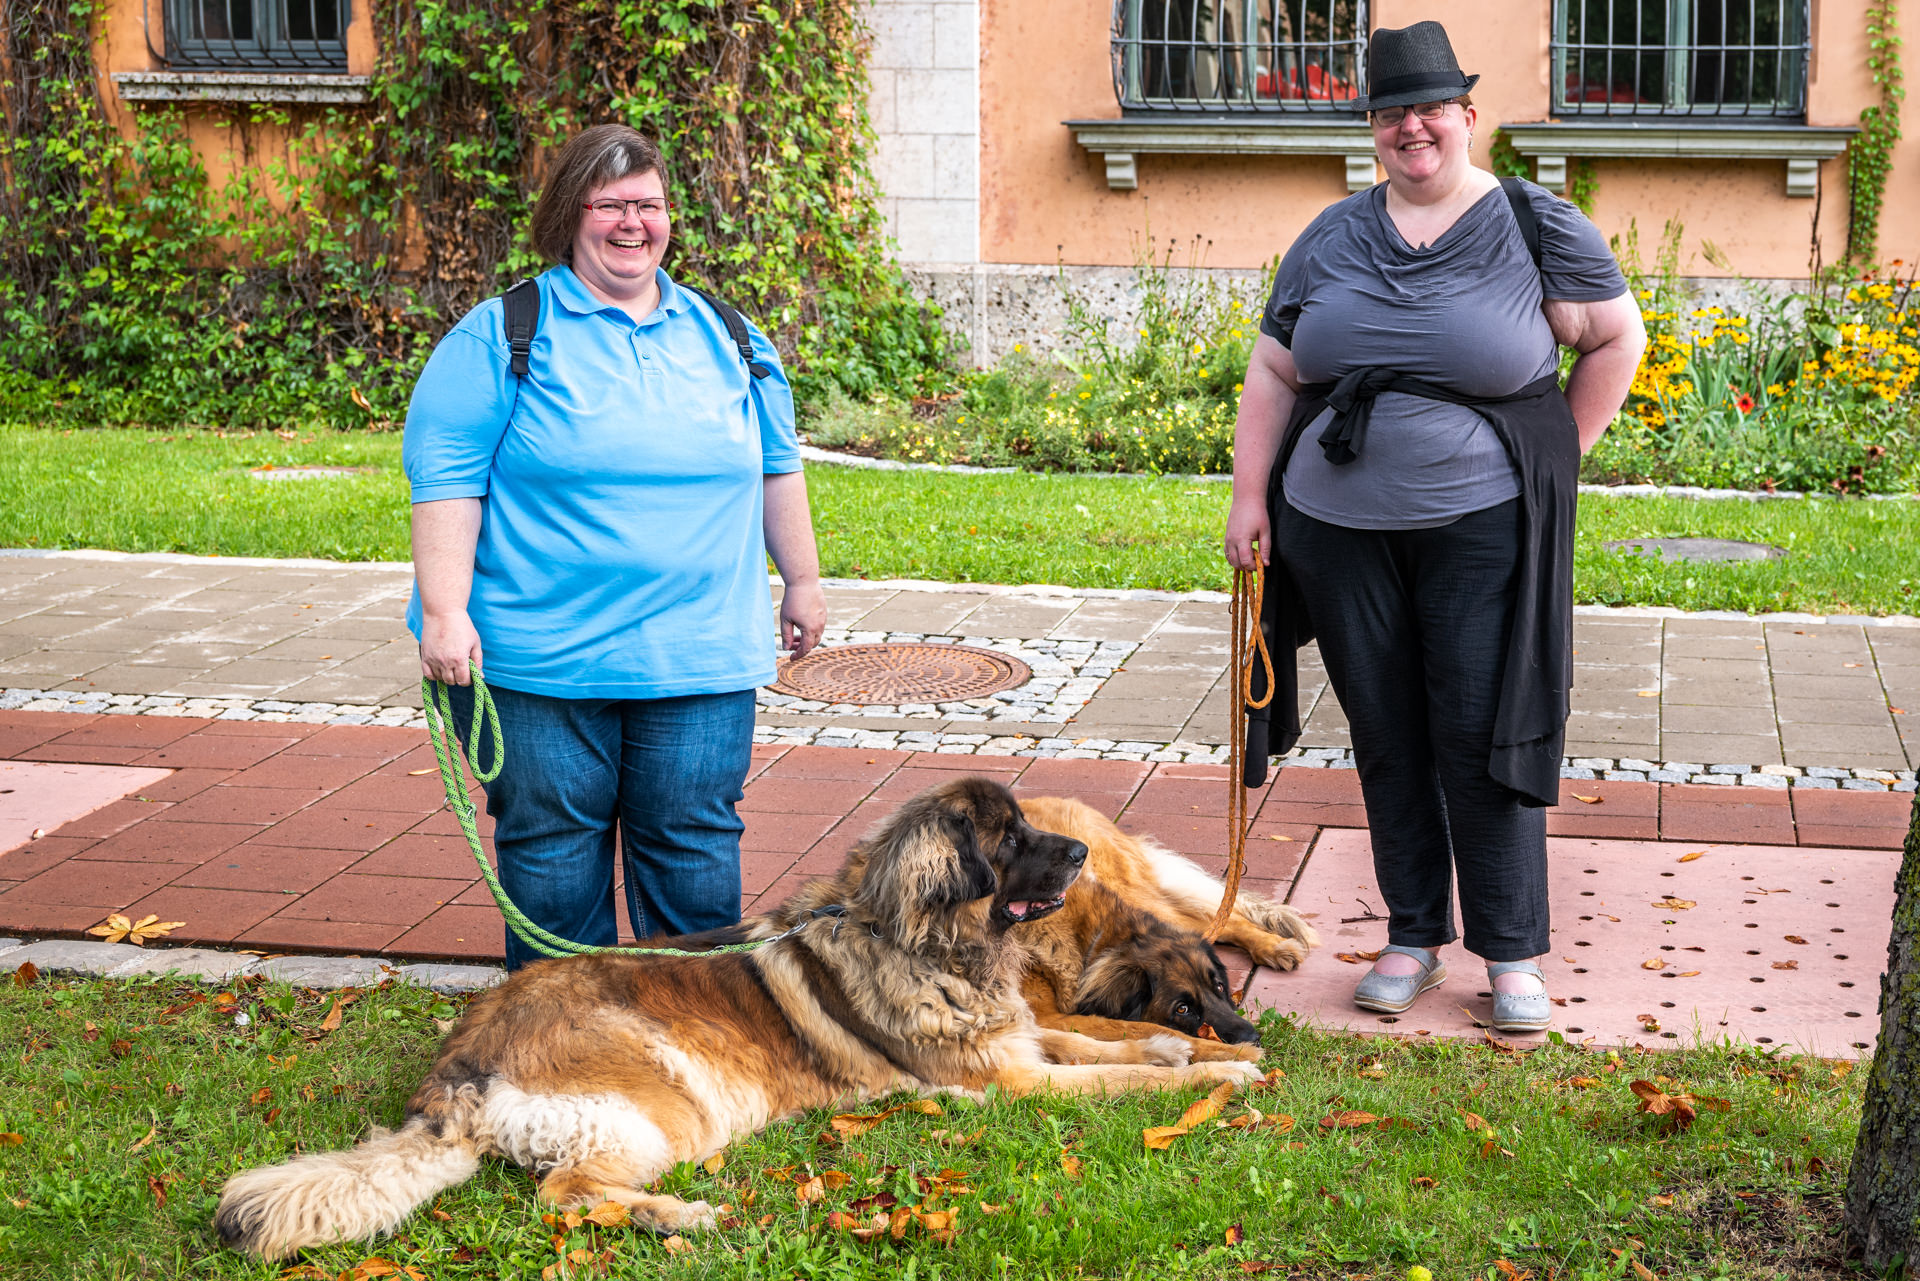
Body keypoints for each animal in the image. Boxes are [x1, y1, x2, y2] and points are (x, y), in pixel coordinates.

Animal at [214, 778, 1262, 1261]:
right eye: (1010, 841)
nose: (1082, 851)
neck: (925, 940)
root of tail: (457, 1071)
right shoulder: (1007, 1078)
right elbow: (1107, 1074)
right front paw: (1222, 1070)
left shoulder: (1014, 1035)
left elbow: (1100, 1038)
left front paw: (1184, 1046)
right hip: (663, 1107)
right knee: (565, 1194)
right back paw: (680, 1213)